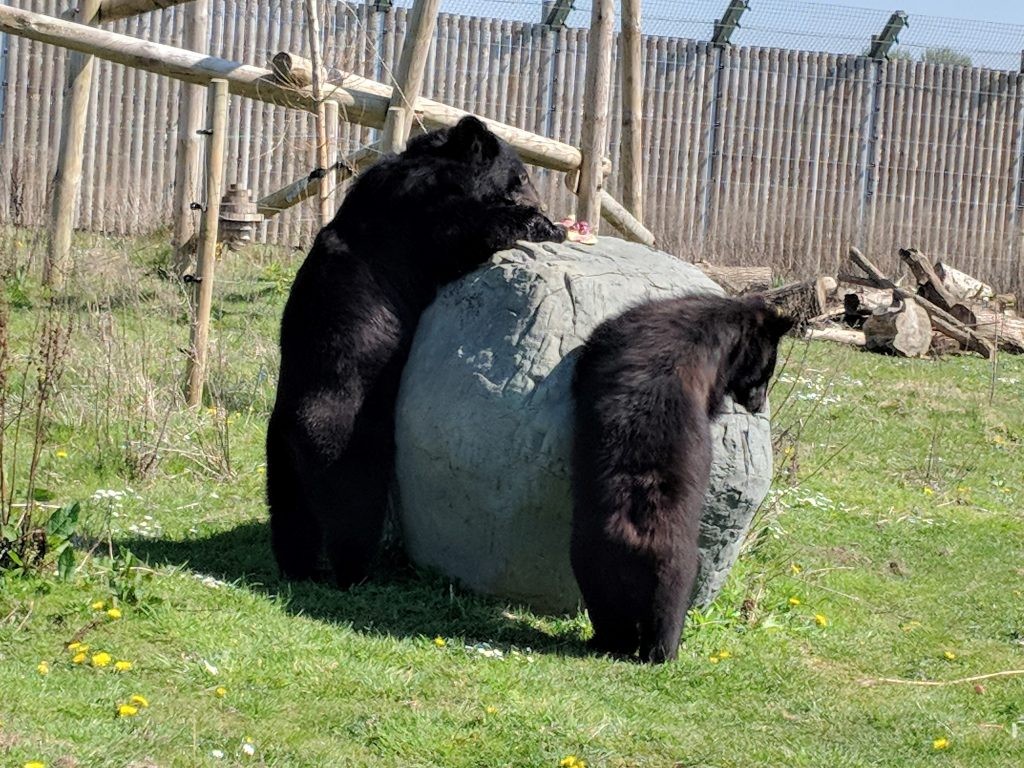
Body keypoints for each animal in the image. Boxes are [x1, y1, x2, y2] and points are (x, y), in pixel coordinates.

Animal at [268, 114, 565, 585]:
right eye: (520, 177)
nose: (541, 201)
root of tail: (290, 430)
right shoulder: (418, 219)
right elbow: (467, 234)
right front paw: (547, 225)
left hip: (279, 468)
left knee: (291, 519)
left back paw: (299, 568)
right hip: (349, 442)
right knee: (352, 510)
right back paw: (354, 572)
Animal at [569, 290, 790, 663]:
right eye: (765, 372)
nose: (758, 406)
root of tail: (636, 533)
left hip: (595, 563)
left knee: (612, 612)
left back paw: (614, 643)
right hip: (672, 568)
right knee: (667, 611)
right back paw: (663, 652)